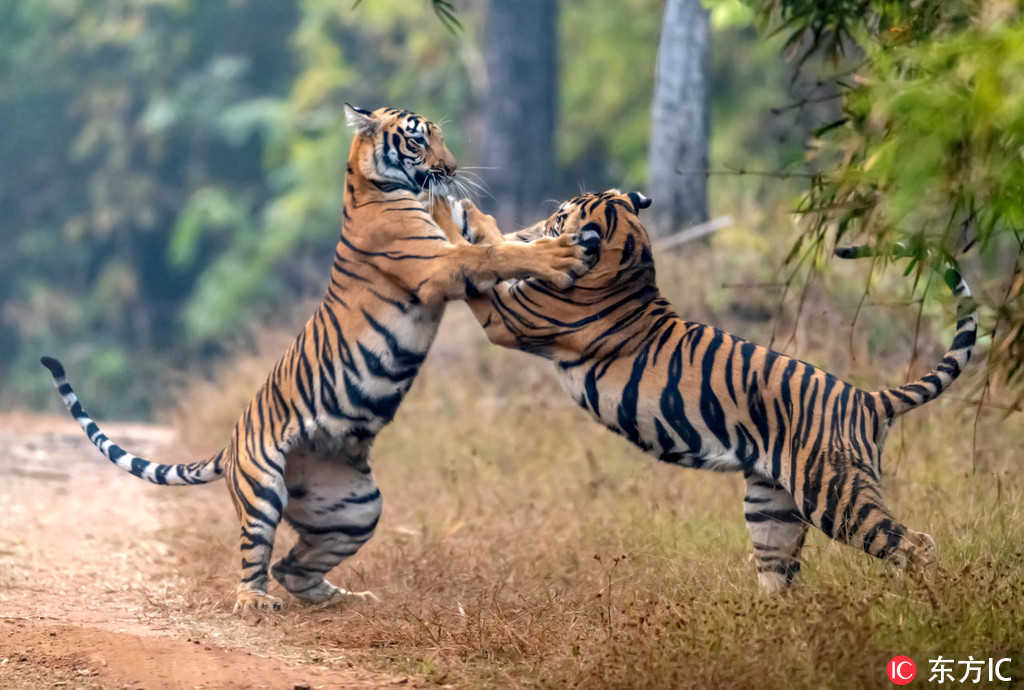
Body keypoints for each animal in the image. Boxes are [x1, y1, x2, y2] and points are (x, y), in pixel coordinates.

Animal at [39, 104, 598, 610]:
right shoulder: (438, 266)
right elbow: (493, 253)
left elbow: (491, 236)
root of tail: (229, 446)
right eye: (420, 140)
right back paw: (254, 602)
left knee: (292, 565)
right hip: (264, 490)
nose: (453, 169)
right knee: (256, 558)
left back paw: (344, 598)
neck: (371, 187)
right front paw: (556, 254)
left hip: (356, 509)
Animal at [430, 190, 974, 589]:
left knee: (914, 543)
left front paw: (454, 213)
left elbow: (481, 256)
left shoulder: (505, 316)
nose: (542, 222)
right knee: (781, 575)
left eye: (560, 215)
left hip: (834, 492)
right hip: (771, 506)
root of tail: (867, 398)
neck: (629, 258)